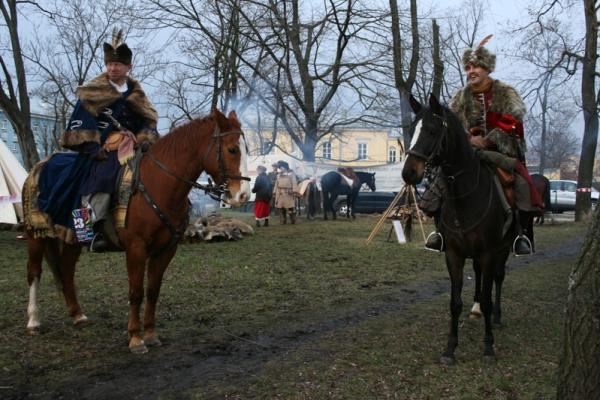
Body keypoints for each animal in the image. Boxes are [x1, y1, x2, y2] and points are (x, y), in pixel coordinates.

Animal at [24, 108, 250, 354]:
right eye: (232, 149)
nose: (243, 196)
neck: (159, 184)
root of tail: (39, 166)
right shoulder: (136, 247)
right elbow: (135, 292)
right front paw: (135, 338)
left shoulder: (165, 250)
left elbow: (152, 291)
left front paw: (150, 334)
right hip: (36, 235)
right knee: (34, 273)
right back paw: (33, 321)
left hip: (71, 238)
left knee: (66, 272)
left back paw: (77, 315)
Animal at [400, 94, 532, 366]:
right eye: (412, 129)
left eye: (431, 130)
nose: (409, 172)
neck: (465, 195)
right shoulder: (454, 254)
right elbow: (455, 302)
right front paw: (450, 348)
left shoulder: (490, 252)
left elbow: (489, 295)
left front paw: (488, 347)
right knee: (480, 276)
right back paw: (476, 309)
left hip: (503, 249)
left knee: (498, 279)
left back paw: (496, 317)